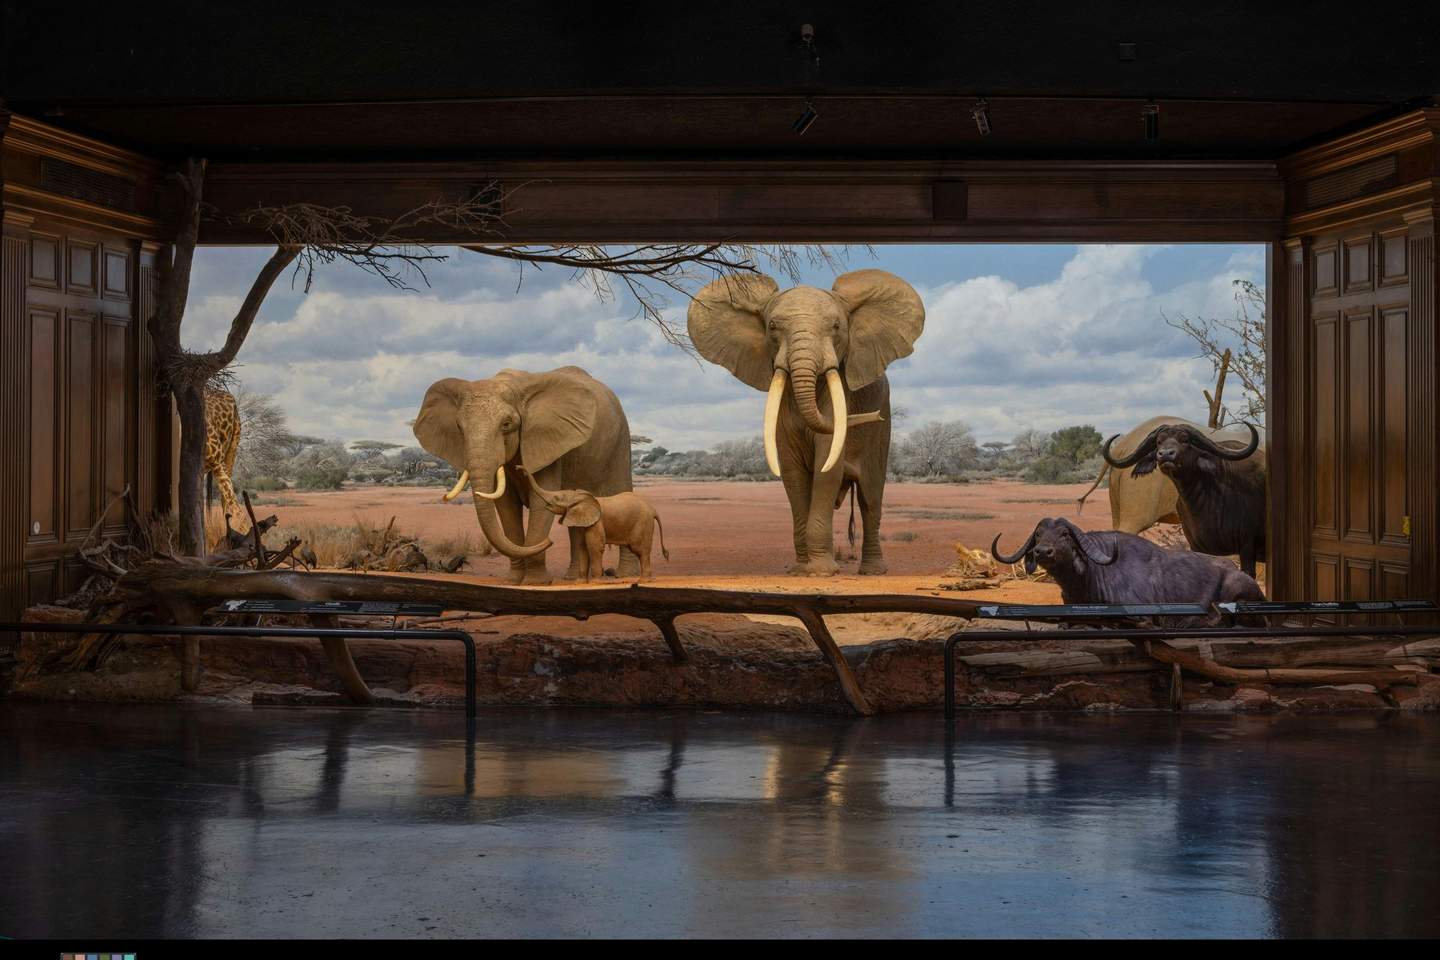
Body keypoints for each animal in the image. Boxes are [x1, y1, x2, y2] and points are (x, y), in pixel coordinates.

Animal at [412, 366, 635, 585]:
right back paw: (572, 578)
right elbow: (506, 507)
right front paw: (513, 581)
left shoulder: (547, 444)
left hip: (620, 441)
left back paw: (625, 575)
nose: (550, 541)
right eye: (459, 427)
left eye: (506, 424)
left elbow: (540, 503)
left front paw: (535, 583)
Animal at [522, 468, 670, 582]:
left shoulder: (597, 523)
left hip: (642, 524)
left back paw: (643, 581)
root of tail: (653, 509)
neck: (578, 495)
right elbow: (582, 548)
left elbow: (595, 547)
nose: (520, 468)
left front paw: (596, 582)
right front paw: (580, 583)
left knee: (640, 550)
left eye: (557, 498)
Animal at [687, 269, 925, 576]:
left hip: (883, 427)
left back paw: (873, 571)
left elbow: (827, 468)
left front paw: (822, 571)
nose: (871, 416)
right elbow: (792, 473)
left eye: (836, 326)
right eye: (772, 326)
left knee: (870, 498)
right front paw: (801, 570)